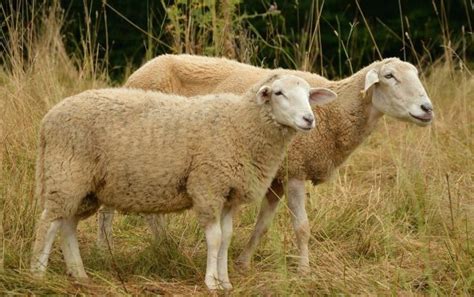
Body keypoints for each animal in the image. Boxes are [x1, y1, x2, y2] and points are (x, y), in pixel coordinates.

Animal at [29, 74, 338, 290]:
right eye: (278, 92)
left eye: (308, 95)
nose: (308, 119)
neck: (241, 124)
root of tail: (47, 120)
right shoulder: (208, 186)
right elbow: (215, 238)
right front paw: (212, 282)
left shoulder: (229, 194)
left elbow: (227, 237)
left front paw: (225, 281)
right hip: (66, 174)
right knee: (48, 224)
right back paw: (37, 274)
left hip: (84, 187)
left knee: (66, 224)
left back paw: (79, 274)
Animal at [98, 53, 436, 272]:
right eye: (389, 76)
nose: (427, 109)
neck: (335, 115)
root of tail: (138, 72)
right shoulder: (296, 170)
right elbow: (302, 226)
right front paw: (304, 271)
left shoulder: (276, 176)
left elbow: (262, 224)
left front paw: (243, 262)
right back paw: (110, 249)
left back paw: (163, 246)